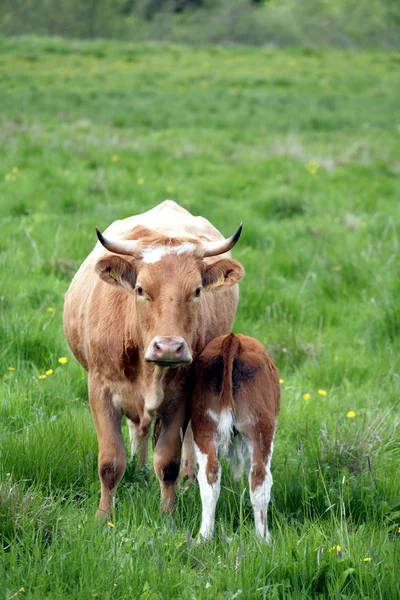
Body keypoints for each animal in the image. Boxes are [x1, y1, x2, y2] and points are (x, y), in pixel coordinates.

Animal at [63, 200, 244, 516]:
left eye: (196, 291)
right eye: (140, 289)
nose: (169, 347)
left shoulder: (180, 396)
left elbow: (168, 462)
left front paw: (167, 513)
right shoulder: (100, 389)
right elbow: (110, 462)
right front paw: (104, 515)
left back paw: (187, 480)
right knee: (138, 430)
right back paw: (137, 468)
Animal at [191, 332, 280, 540]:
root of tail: (233, 340)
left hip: (203, 426)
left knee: (209, 477)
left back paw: (204, 537)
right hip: (261, 429)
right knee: (259, 478)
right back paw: (263, 538)